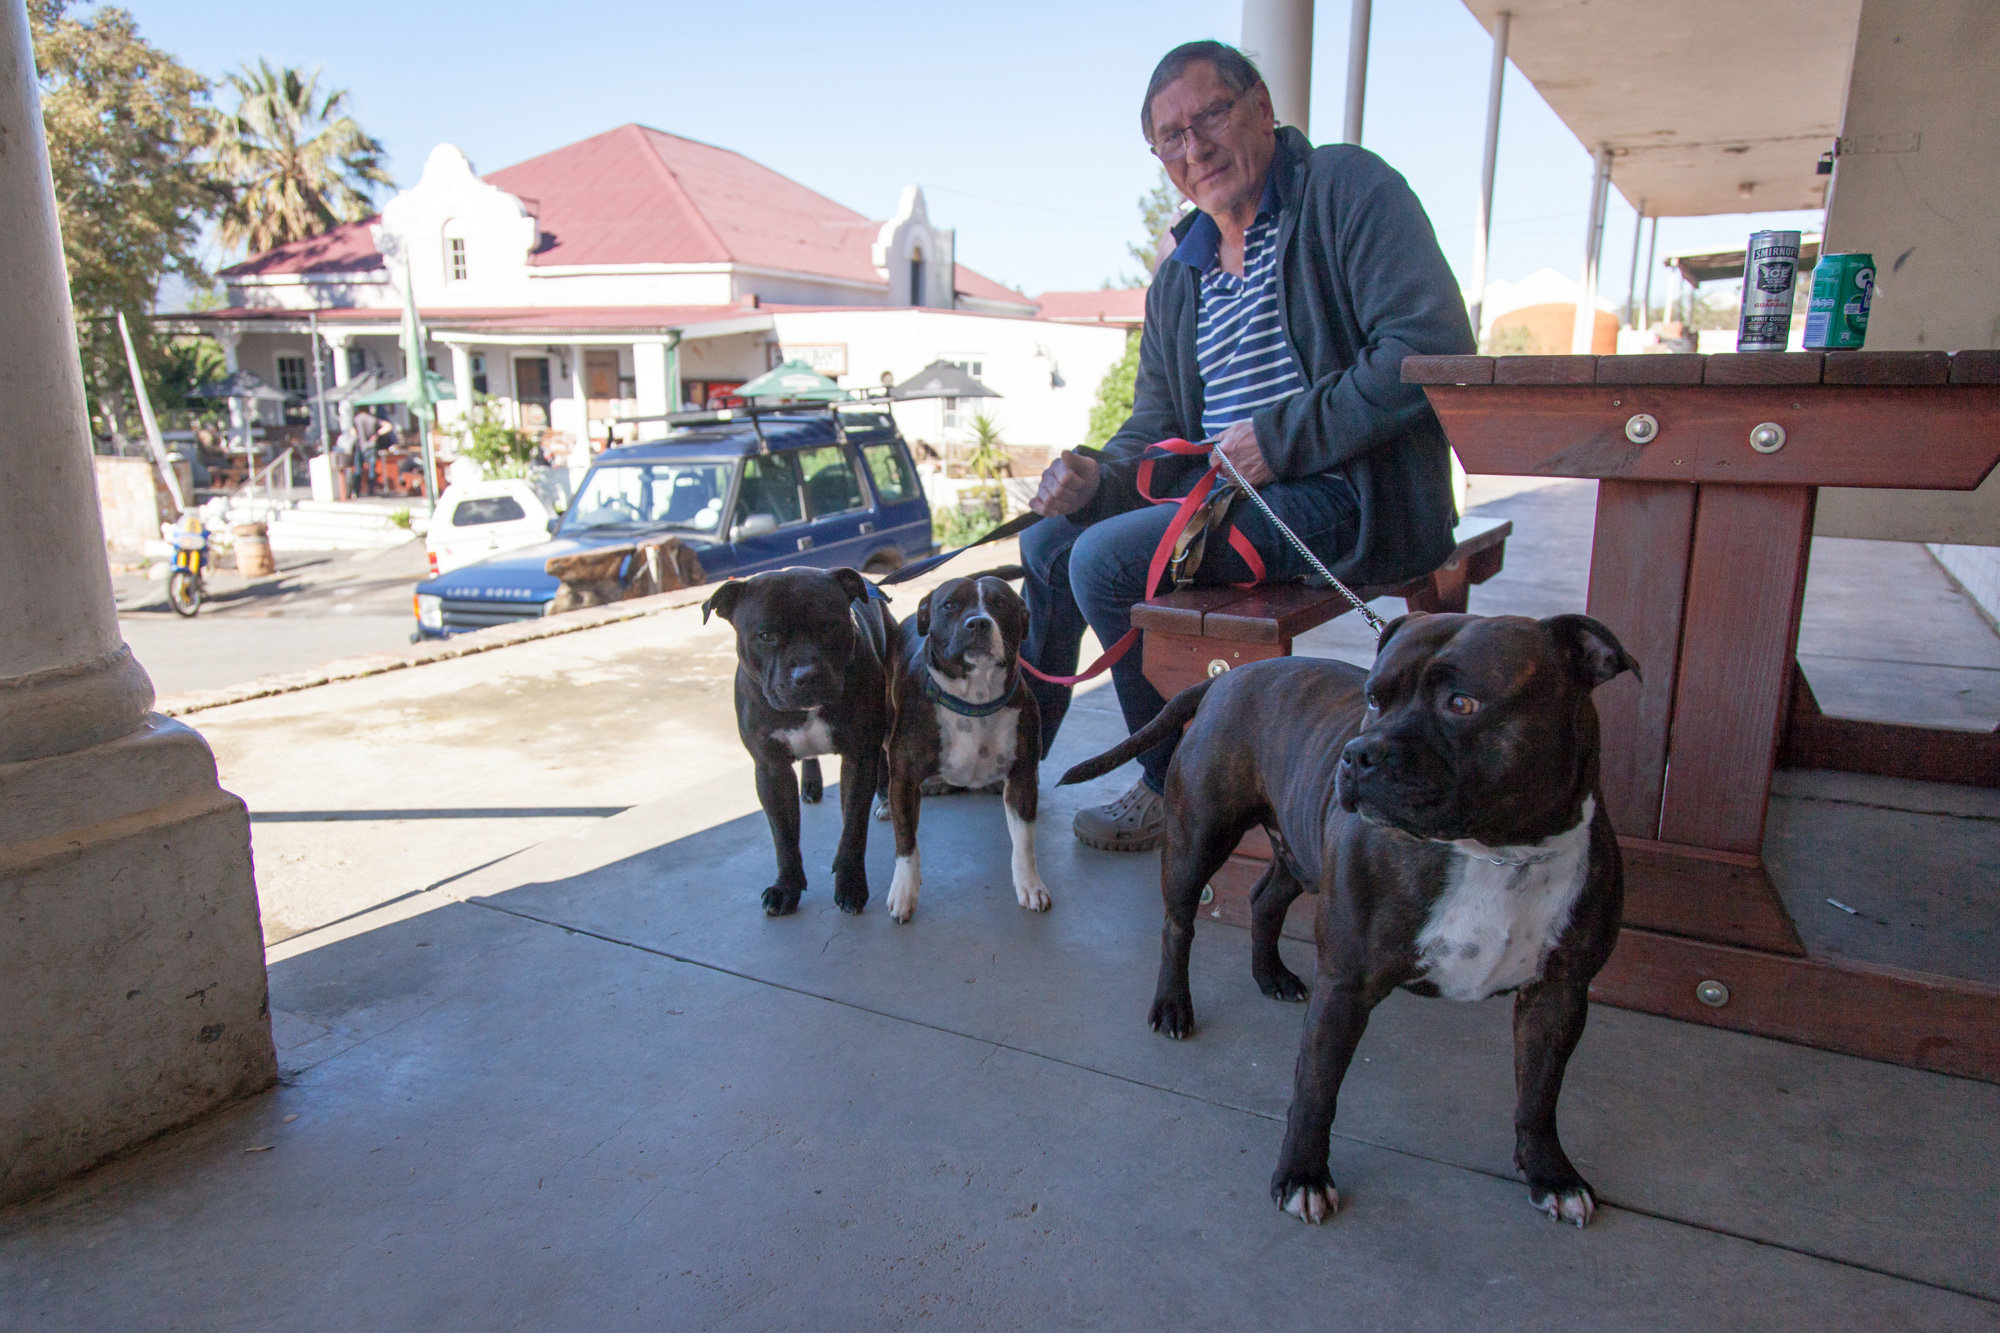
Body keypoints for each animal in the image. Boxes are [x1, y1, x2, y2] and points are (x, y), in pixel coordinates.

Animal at [702, 566, 892, 917]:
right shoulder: (770, 768)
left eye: (829, 625)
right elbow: (784, 836)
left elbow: (853, 828)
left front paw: (850, 884)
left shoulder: (859, 757)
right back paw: (811, 784)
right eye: (766, 635)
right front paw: (786, 888)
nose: (807, 675)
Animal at [882, 569, 1050, 924]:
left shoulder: (1023, 778)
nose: (978, 623)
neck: (974, 700)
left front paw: (1030, 884)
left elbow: (1024, 843)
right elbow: (906, 843)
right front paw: (904, 891)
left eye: (1001, 604)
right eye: (950, 605)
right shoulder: (903, 781)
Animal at [1061, 612, 1638, 1227]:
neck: (1497, 852)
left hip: (1298, 847)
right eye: (1374, 699)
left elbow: (1539, 1094)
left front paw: (1551, 1173)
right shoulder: (1346, 984)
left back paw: (1272, 976)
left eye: (1463, 703)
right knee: (1178, 925)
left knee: (1265, 899)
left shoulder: (1559, 993)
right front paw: (1302, 1176)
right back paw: (1173, 1005)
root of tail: (1224, 679)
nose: (1359, 753)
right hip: (1197, 841)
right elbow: (1316, 1089)